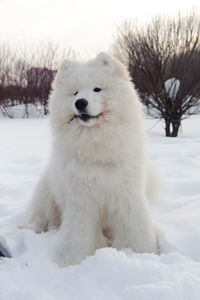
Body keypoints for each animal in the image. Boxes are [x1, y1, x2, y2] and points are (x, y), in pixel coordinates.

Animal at [25, 52, 159, 266]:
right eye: (75, 93)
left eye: (97, 89)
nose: (80, 102)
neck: (96, 146)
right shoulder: (82, 200)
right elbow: (80, 234)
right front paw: (76, 261)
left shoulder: (128, 194)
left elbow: (138, 228)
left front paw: (146, 254)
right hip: (46, 201)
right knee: (40, 220)